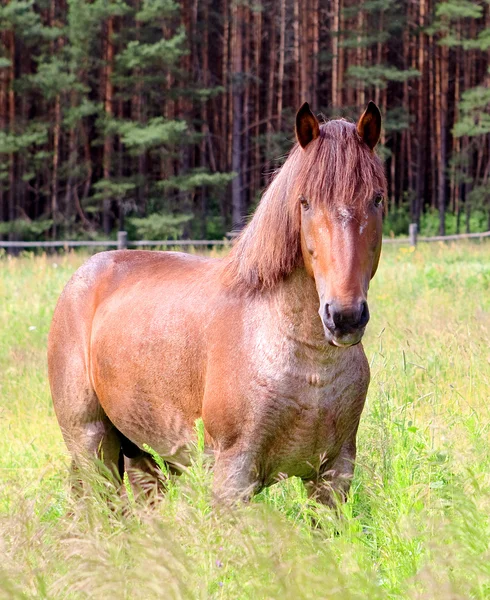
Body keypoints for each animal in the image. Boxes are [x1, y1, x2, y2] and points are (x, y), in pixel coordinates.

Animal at [48, 103, 386, 506]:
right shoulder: (232, 477)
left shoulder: (334, 476)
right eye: (305, 202)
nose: (344, 316)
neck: (309, 365)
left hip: (143, 455)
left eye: (377, 198)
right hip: (92, 446)